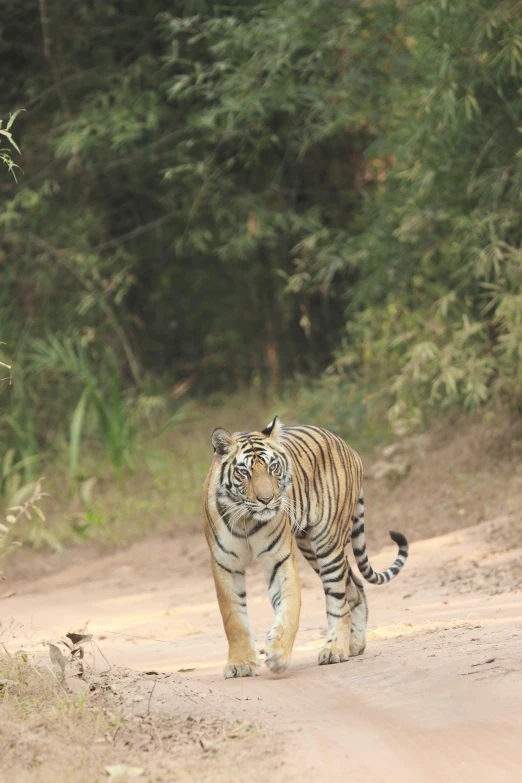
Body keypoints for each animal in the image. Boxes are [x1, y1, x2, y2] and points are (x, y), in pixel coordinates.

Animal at [201, 416, 408, 680]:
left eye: (273, 467)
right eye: (244, 472)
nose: (266, 500)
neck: (247, 519)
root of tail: (347, 446)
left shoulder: (279, 559)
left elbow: (289, 607)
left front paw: (278, 654)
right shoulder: (225, 563)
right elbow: (233, 618)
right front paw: (240, 664)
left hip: (328, 542)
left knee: (339, 600)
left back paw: (335, 649)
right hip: (309, 546)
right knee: (355, 587)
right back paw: (354, 644)